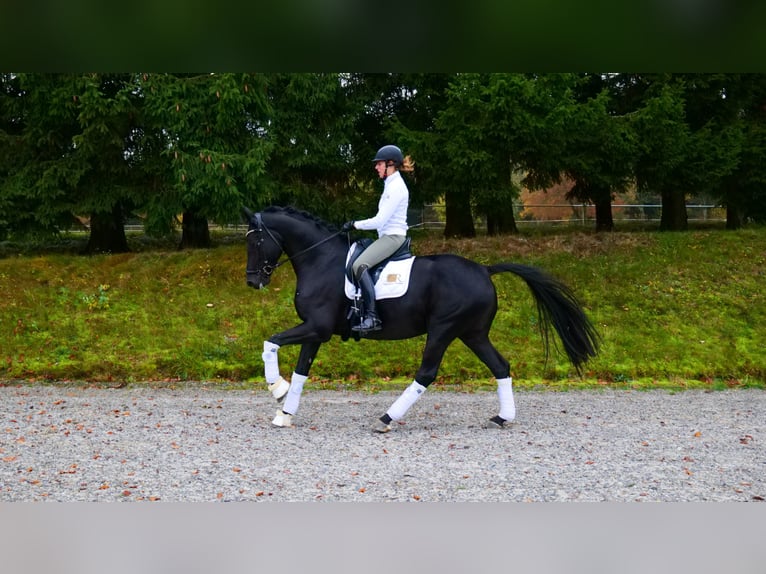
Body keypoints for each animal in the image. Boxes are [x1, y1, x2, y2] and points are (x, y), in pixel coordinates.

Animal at [242, 205, 599, 432]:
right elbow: (301, 372)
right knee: (500, 366)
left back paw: (386, 419)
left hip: (443, 329)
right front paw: (285, 412)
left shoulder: (316, 327)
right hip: (473, 333)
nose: (253, 282)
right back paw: (502, 418)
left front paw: (276, 388)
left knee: (426, 373)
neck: (320, 260)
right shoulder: (316, 332)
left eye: (256, 240)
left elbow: (270, 343)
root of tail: (485, 269)